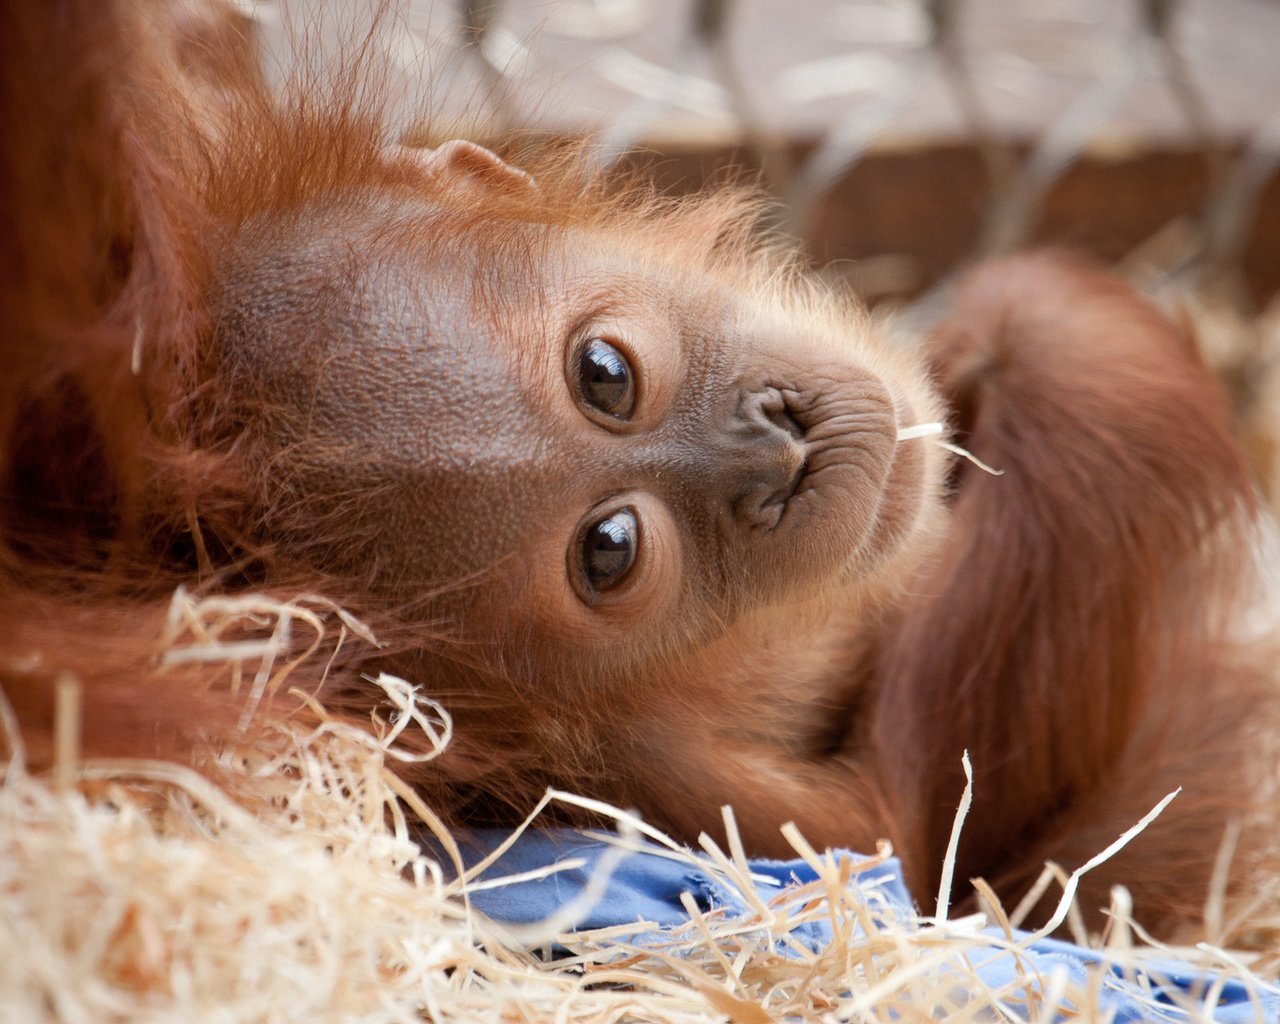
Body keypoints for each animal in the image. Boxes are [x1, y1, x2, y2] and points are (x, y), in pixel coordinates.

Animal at [1, 0, 1275, 941]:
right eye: (609, 550)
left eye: (603, 372)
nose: (774, 447)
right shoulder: (687, 791)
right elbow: (915, 840)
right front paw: (1032, 333)